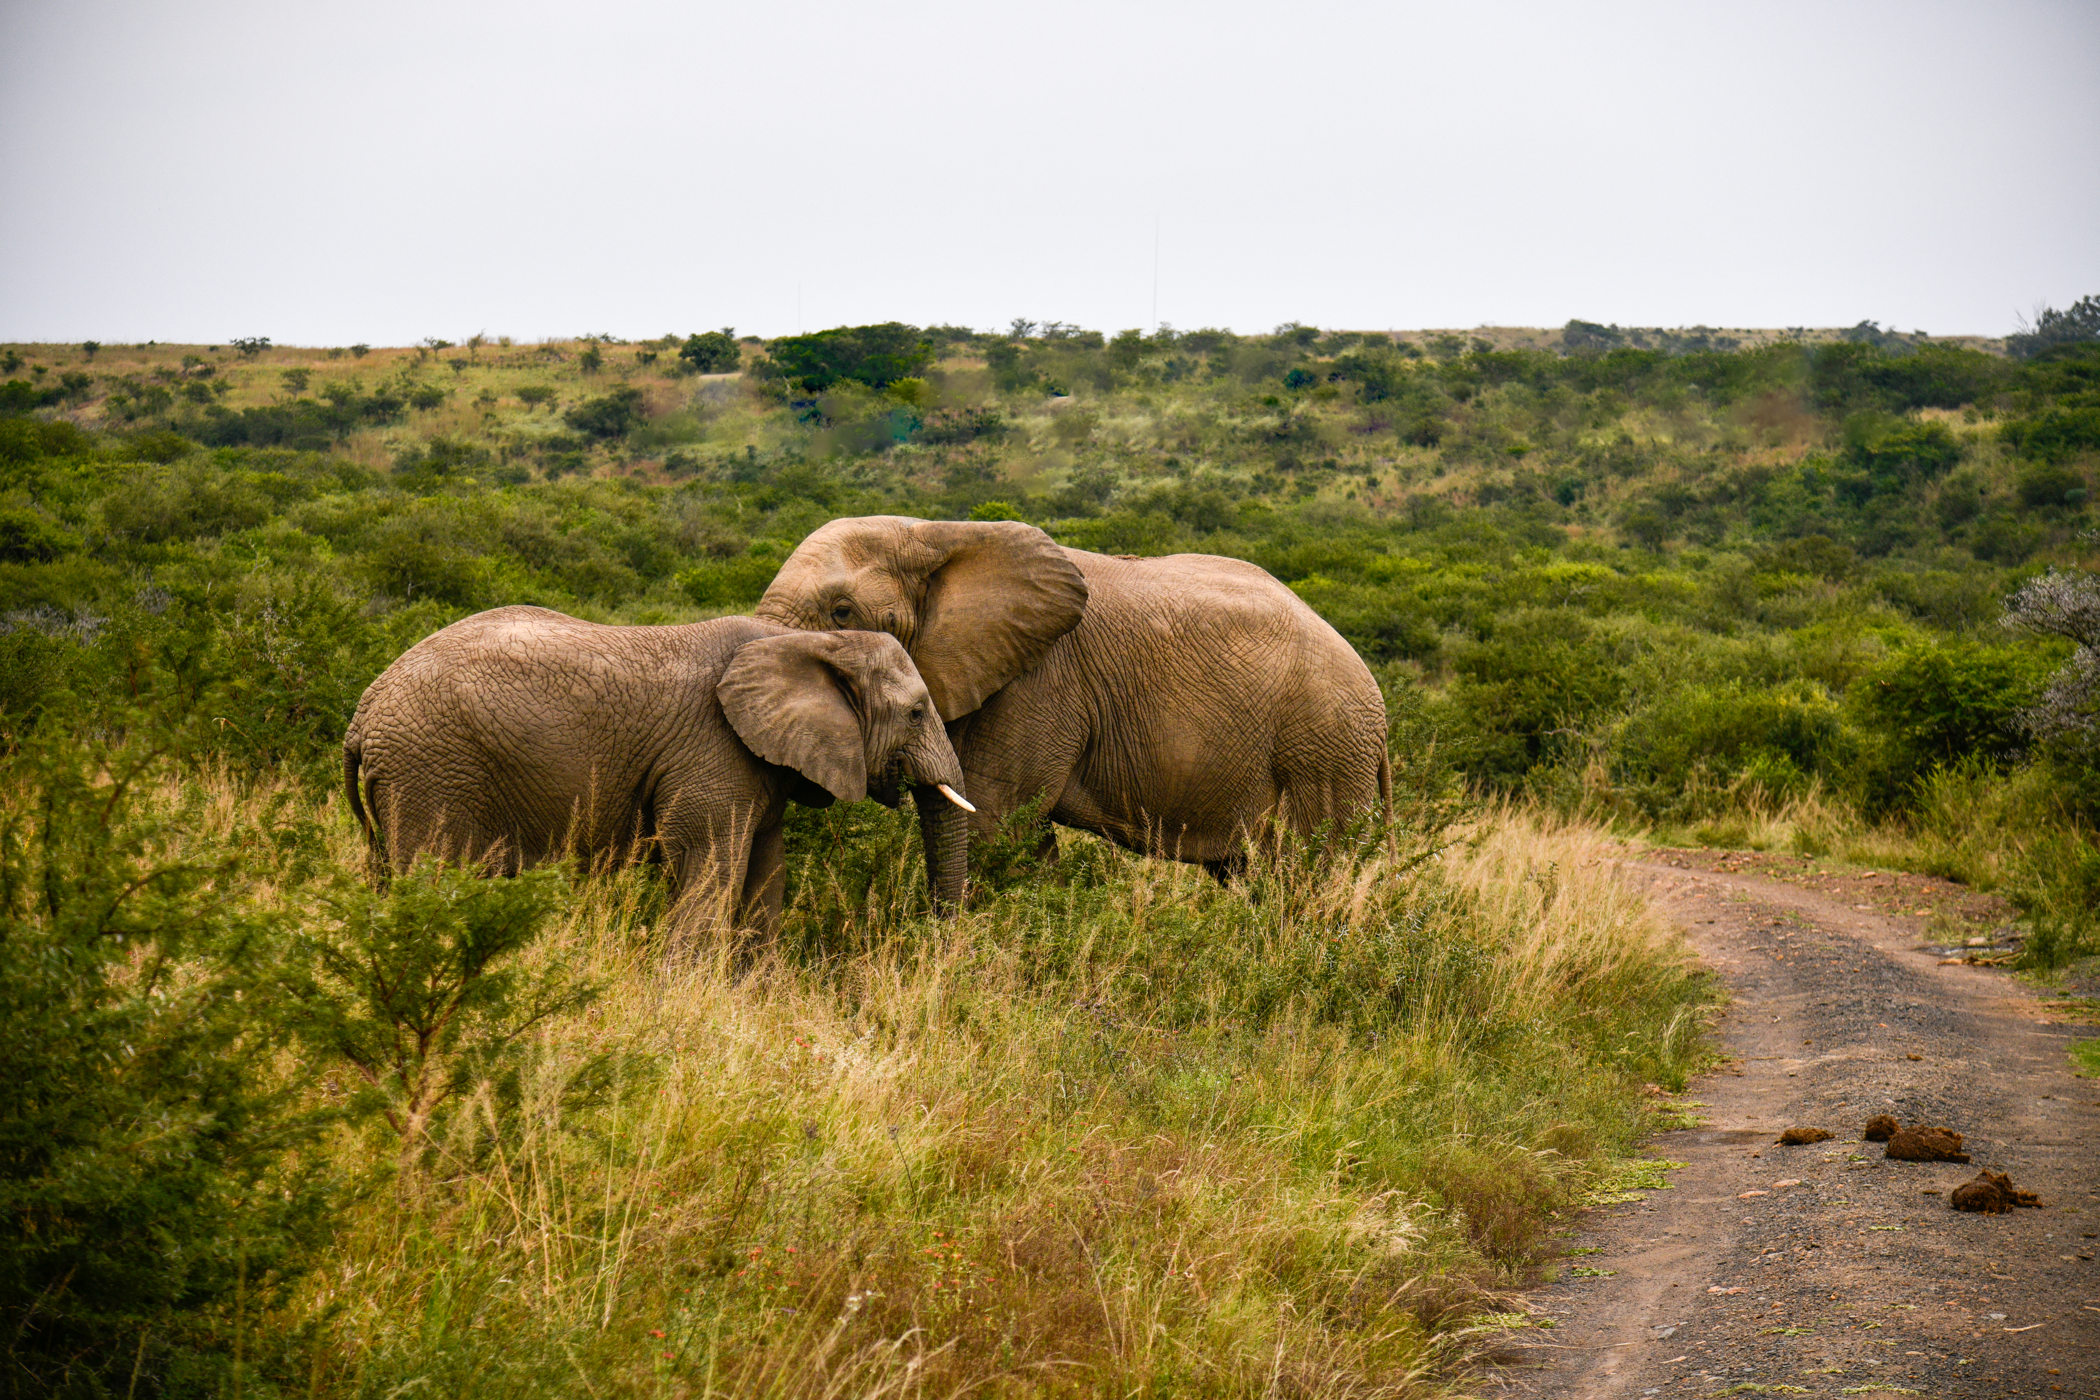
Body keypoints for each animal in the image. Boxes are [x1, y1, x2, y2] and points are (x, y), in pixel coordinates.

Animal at [343, 606, 973, 946]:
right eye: (917, 713)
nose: (941, 940)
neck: (810, 640)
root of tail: (363, 713)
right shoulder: (714, 749)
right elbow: (707, 866)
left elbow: (765, 879)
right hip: (430, 773)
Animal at [753, 517, 1389, 885]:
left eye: (841, 612)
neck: (937, 531)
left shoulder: (1040, 682)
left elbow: (995, 821)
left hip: (1324, 750)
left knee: (1306, 877)